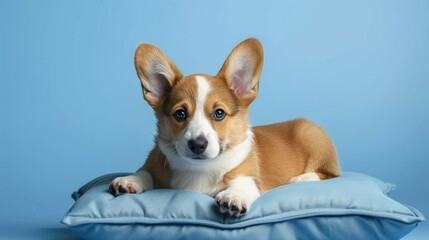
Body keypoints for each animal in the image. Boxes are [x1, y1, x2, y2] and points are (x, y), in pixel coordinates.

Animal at [110, 38, 342, 217]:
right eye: (180, 114)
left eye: (219, 113)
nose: (197, 145)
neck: (200, 169)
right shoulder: (155, 164)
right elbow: (145, 173)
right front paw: (129, 180)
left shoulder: (247, 175)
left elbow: (241, 184)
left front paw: (234, 197)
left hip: (312, 137)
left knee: (330, 174)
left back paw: (302, 178)